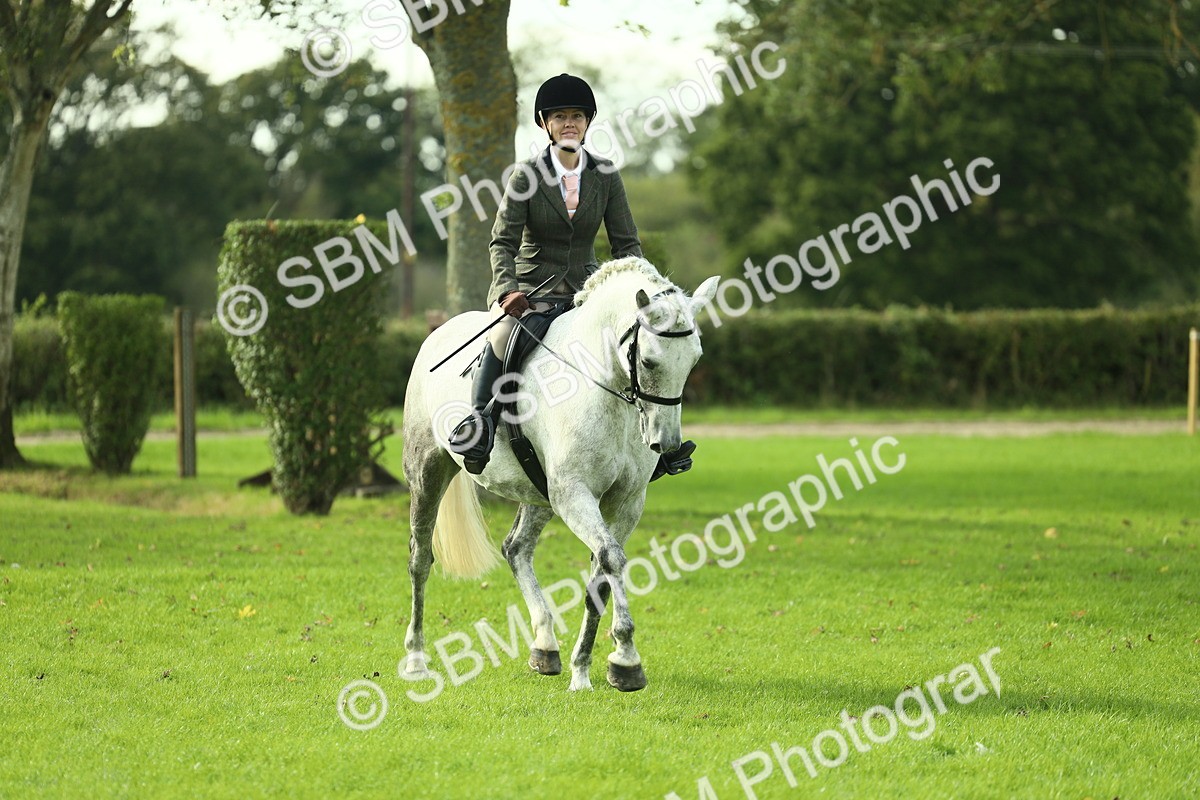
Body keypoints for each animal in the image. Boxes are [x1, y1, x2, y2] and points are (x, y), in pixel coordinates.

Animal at [401, 256, 719, 692]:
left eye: (694, 360)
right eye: (649, 361)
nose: (667, 445)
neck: (605, 385)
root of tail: (438, 332)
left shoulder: (626, 501)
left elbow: (601, 576)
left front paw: (589, 668)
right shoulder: (574, 493)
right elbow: (612, 559)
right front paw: (627, 656)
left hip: (537, 491)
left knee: (516, 548)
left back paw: (545, 646)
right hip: (427, 470)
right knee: (420, 558)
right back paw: (416, 660)